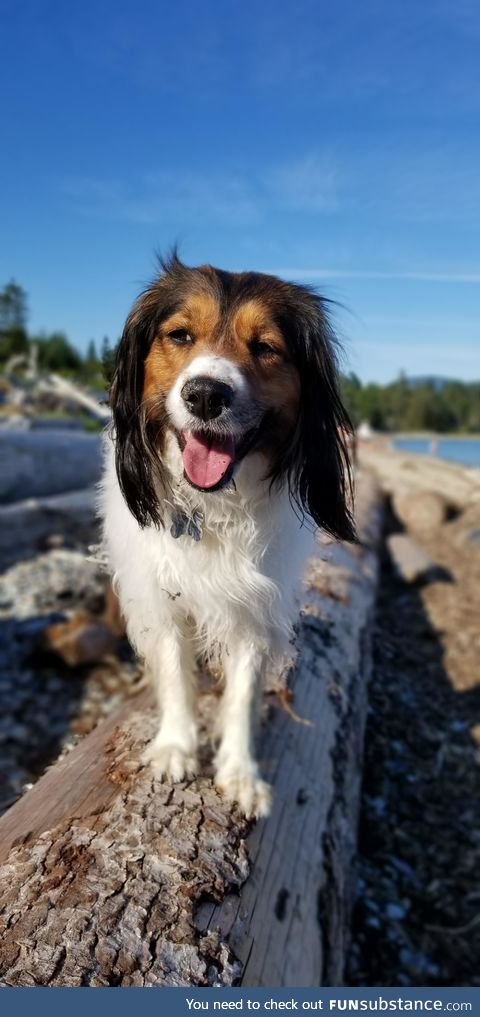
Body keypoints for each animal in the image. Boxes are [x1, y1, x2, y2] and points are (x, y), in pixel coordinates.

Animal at [99, 252, 353, 817]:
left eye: (266, 347)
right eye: (179, 335)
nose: (205, 395)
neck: (213, 506)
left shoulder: (256, 606)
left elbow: (242, 692)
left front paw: (240, 774)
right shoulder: (161, 595)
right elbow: (175, 672)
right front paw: (176, 748)